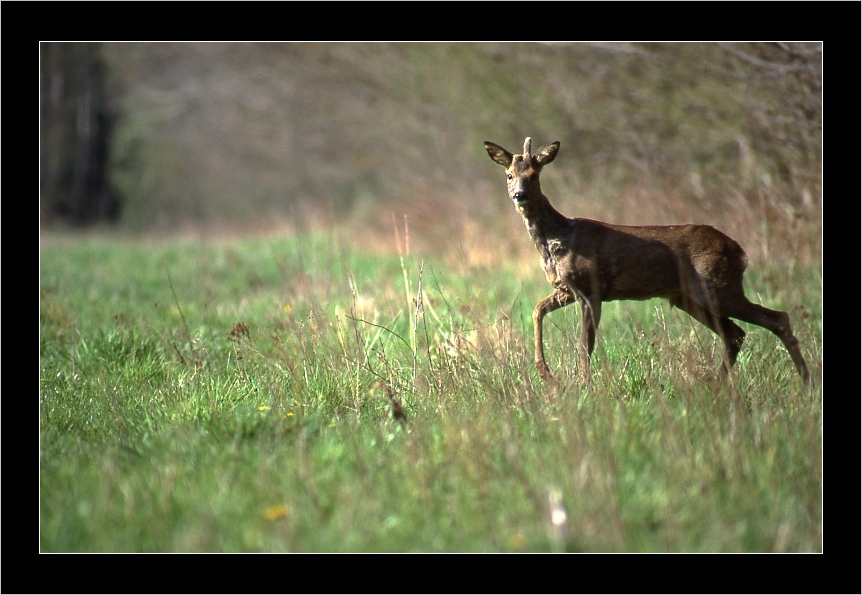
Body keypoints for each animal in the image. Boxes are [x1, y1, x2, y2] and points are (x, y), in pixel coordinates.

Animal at [486, 136, 808, 386]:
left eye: (535, 174)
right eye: (509, 175)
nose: (519, 195)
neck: (557, 237)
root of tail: (740, 250)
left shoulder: (591, 288)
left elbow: (584, 345)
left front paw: (584, 386)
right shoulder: (567, 289)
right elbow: (537, 310)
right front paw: (547, 374)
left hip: (717, 287)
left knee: (777, 318)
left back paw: (805, 383)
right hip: (689, 297)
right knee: (736, 333)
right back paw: (719, 385)